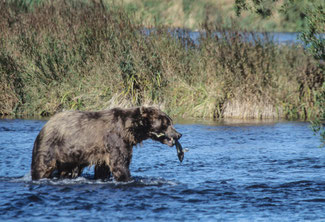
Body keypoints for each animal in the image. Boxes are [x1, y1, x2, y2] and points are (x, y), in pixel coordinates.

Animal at [29, 106, 182, 181]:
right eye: (166, 123)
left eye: (170, 121)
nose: (179, 134)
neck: (130, 130)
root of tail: (45, 126)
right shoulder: (115, 140)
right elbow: (120, 164)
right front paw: (127, 178)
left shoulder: (104, 151)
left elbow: (103, 169)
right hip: (52, 146)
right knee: (42, 166)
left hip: (69, 156)